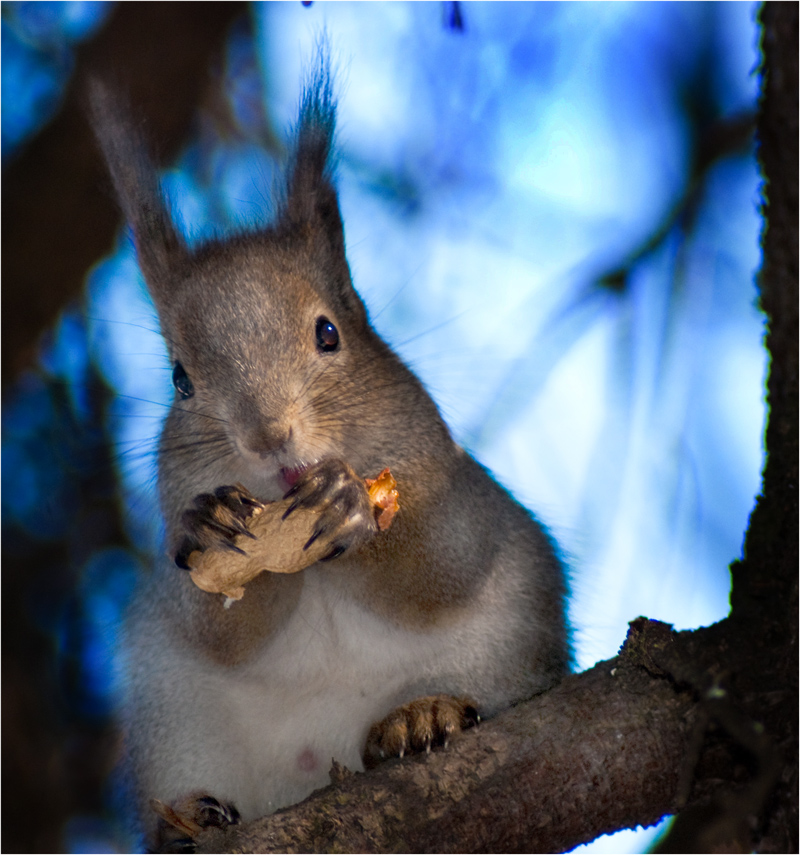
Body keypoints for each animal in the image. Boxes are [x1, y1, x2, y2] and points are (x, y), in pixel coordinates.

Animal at [90, 58, 572, 848]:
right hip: (177, 722)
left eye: (328, 333)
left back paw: (422, 714)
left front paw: (353, 507)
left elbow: (442, 561)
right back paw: (190, 819)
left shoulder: (456, 489)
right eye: (180, 380)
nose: (268, 437)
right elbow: (218, 626)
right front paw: (205, 525)